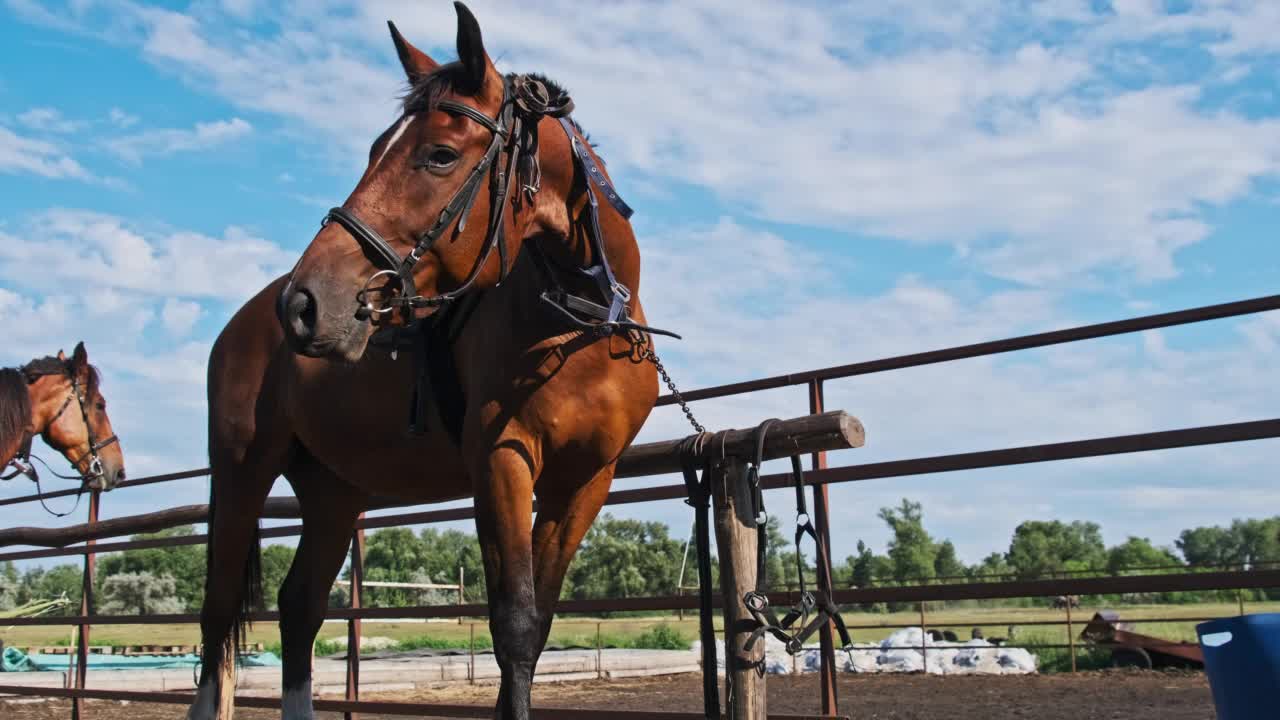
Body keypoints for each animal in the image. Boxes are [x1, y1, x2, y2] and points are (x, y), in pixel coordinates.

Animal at [192, 2, 670, 712]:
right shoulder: (502, 464)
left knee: (299, 607)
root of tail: (245, 321)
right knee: (220, 612)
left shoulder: (583, 481)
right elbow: (514, 624)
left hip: (333, 494)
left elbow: (537, 625)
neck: (577, 331)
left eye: (440, 155)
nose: (304, 303)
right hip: (241, 475)